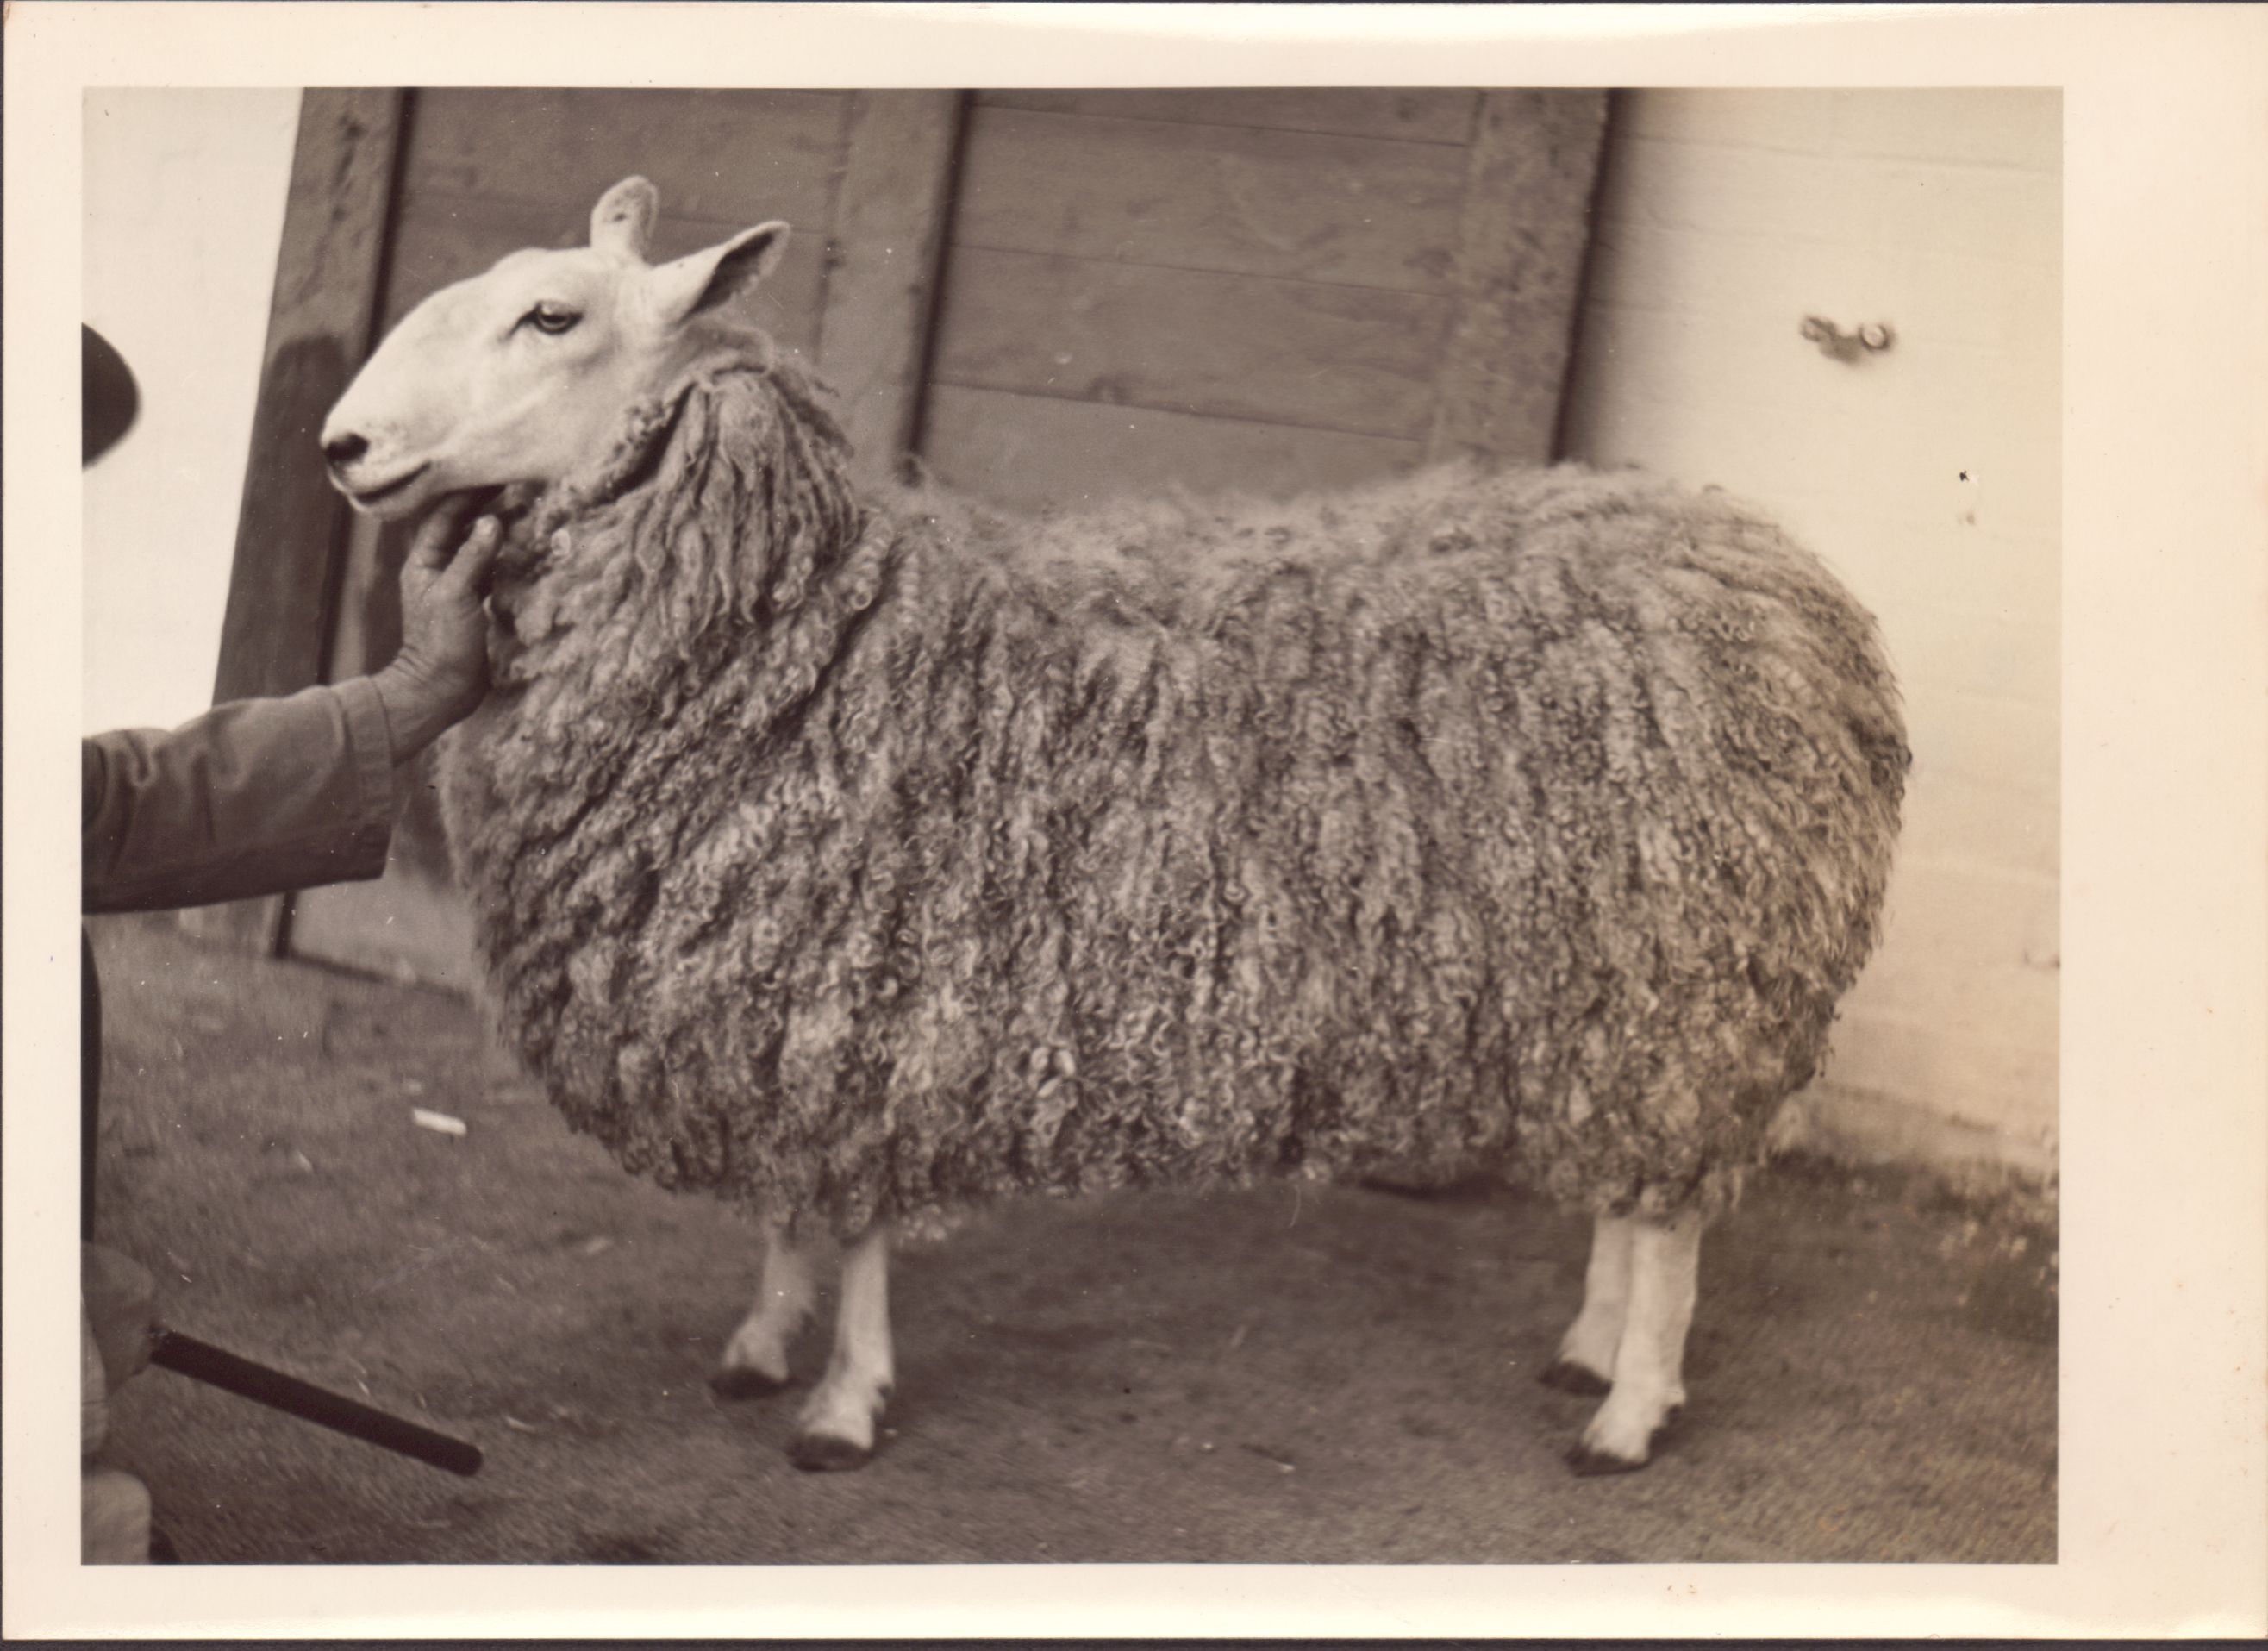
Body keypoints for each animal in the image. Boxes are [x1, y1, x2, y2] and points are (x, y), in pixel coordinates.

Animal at [321, 176, 1909, 1476]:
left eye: (552, 315)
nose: (340, 442)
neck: (809, 629)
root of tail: (1778, 569)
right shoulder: (788, 1012)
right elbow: (791, 1201)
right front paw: (764, 1339)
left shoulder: (884, 997)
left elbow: (864, 1226)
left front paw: (843, 1400)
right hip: (1621, 994)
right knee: (1631, 1196)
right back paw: (1588, 1347)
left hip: (1693, 983)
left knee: (1671, 1216)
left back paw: (1628, 1411)